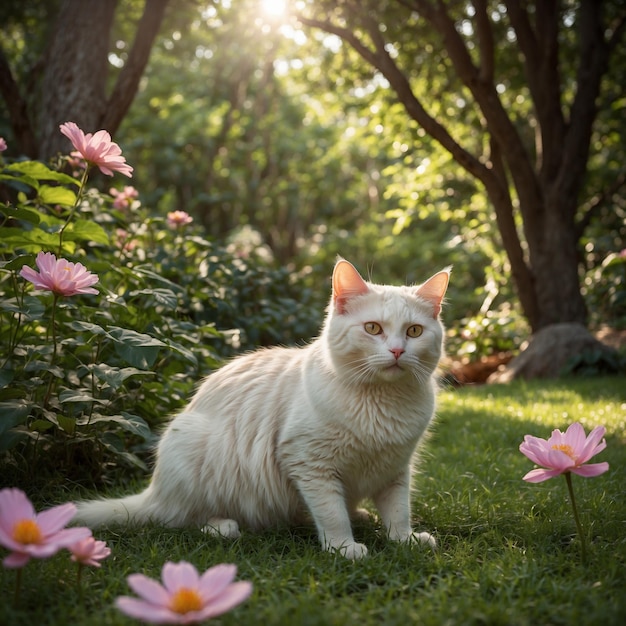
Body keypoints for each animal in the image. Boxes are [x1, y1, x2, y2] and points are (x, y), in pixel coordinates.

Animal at [75, 256, 448, 560]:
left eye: (414, 331)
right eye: (373, 328)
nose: (398, 351)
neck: (382, 402)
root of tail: (154, 491)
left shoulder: (395, 469)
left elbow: (398, 512)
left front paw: (404, 540)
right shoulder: (309, 464)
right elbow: (331, 514)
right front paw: (343, 547)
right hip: (195, 450)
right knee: (185, 519)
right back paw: (223, 527)